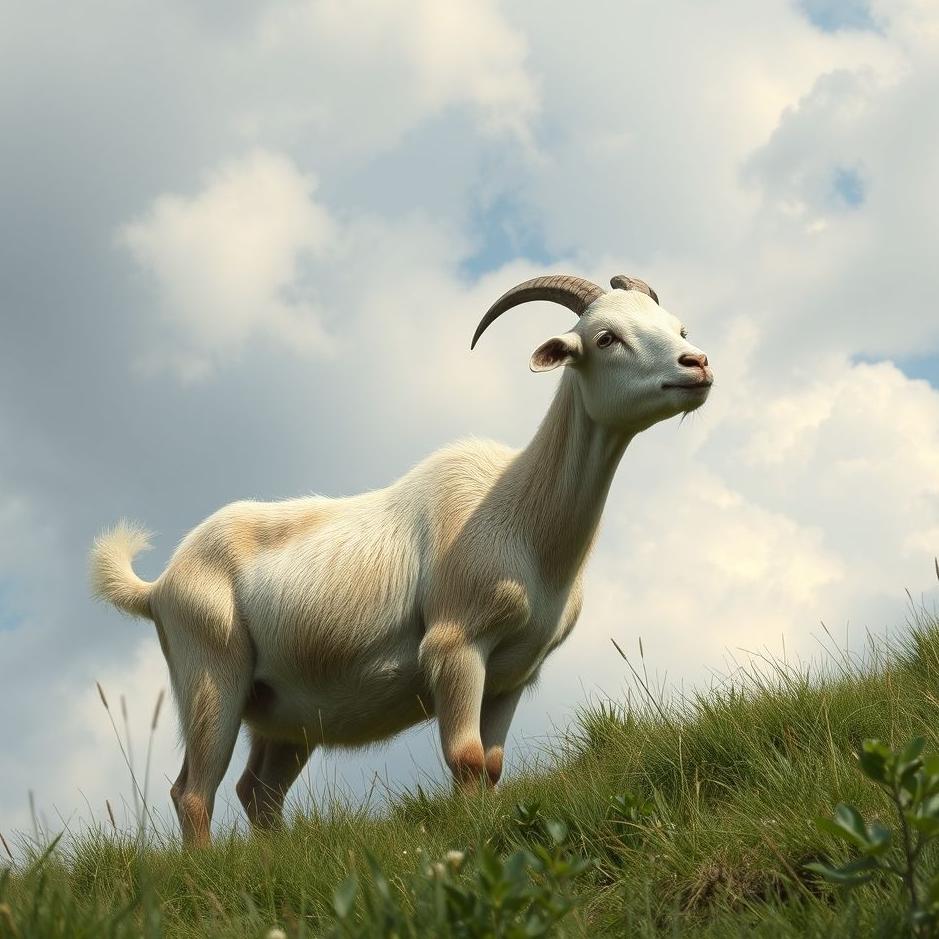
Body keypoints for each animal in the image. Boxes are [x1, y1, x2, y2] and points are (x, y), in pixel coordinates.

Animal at [90, 273, 713, 846]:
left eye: (678, 327)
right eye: (606, 337)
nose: (698, 363)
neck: (522, 516)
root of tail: (157, 586)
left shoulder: (512, 674)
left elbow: (491, 766)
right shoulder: (455, 646)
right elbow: (466, 759)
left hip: (284, 712)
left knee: (257, 791)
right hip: (210, 674)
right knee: (193, 792)